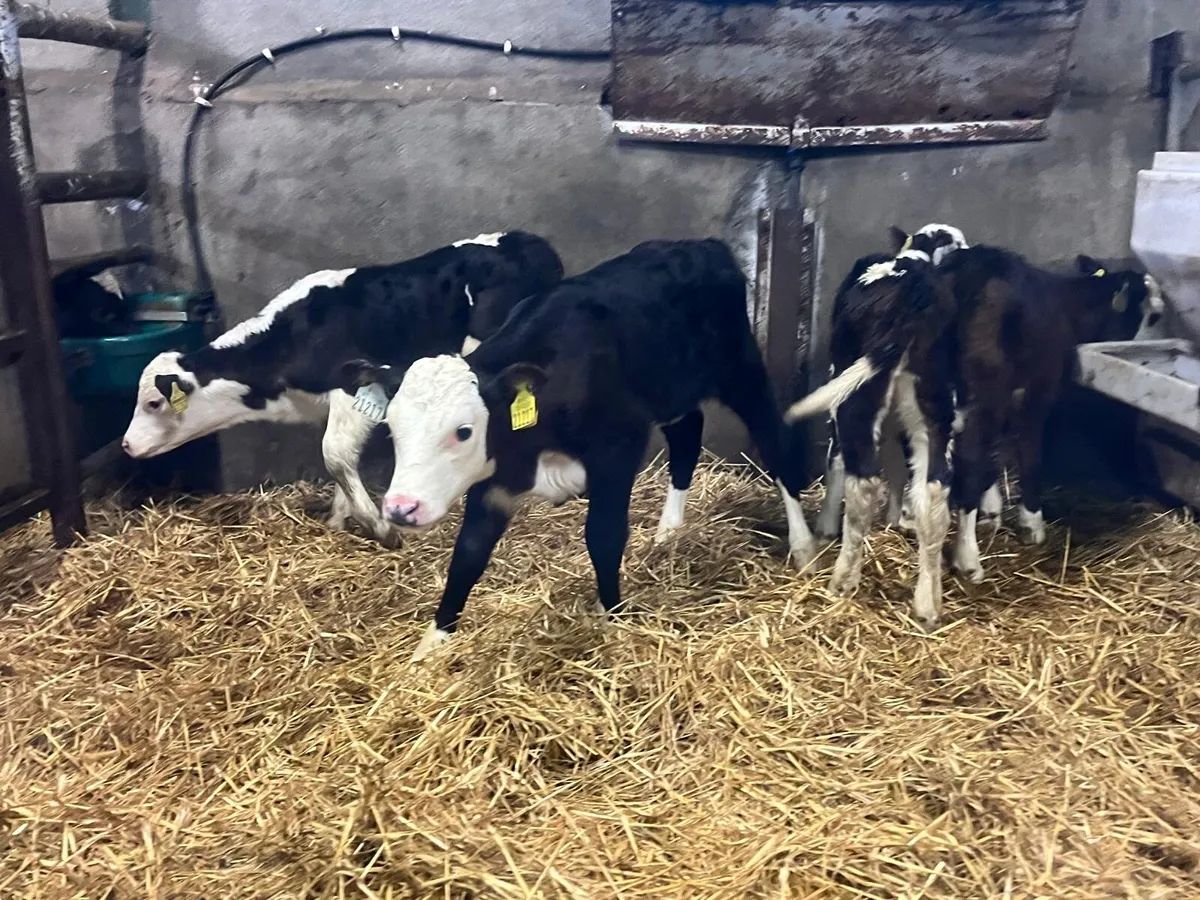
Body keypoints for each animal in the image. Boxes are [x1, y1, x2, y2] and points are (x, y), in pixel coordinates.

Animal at [121, 232, 564, 546]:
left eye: (154, 402)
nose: (126, 445)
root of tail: (527, 240)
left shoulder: (352, 390)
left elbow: (334, 454)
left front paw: (377, 526)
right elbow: (340, 458)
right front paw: (339, 518)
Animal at [343, 238, 817, 660]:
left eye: (463, 431)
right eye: (393, 427)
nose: (401, 508)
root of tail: (701, 245)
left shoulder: (616, 452)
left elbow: (604, 537)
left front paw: (614, 619)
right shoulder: (497, 478)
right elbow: (468, 554)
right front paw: (432, 645)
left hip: (742, 372)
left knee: (775, 444)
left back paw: (803, 547)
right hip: (672, 388)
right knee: (687, 438)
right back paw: (668, 532)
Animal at [786, 233, 958, 629]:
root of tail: (916, 286)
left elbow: (836, 459)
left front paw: (826, 526)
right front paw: (897, 518)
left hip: (857, 395)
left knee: (864, 480)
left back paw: (842, 580)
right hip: (934, 403)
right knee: (935, 491)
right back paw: (928, 604)